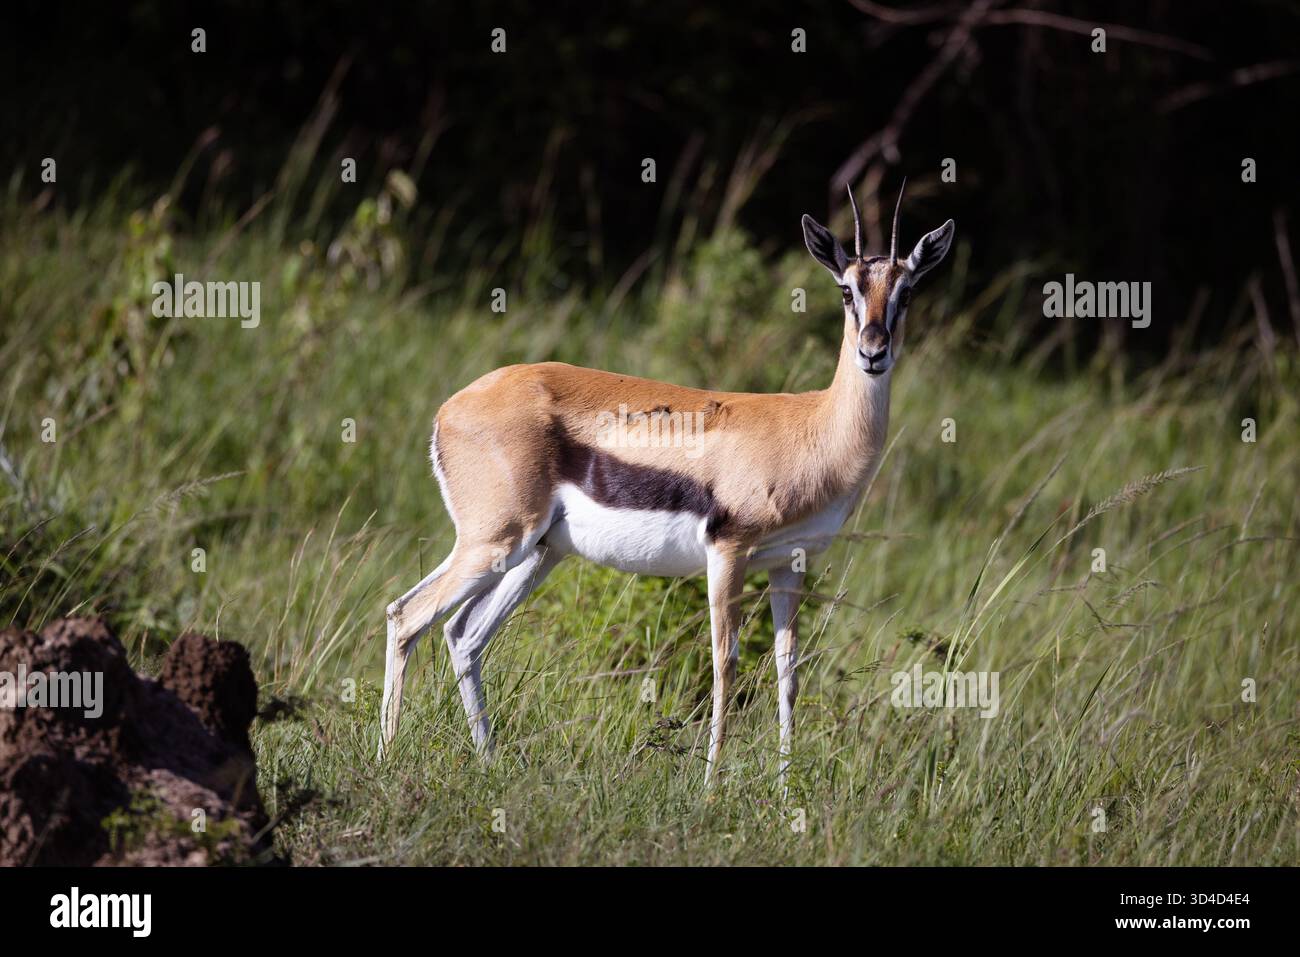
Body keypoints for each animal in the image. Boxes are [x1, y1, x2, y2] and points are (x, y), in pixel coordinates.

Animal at [379, 182, 954, 784]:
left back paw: (488, 760)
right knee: (408, 616)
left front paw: (784, 787)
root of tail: (449, 409)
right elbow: (725, 663)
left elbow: (788, 670)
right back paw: (387, 759)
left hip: (536, 552)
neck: (812, 430)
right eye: (847, 290)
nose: (873, 352)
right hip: (497, 542)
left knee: (460, 633)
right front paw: (710, 786)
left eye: (907, 292)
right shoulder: (728, 551)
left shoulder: (788, 564)